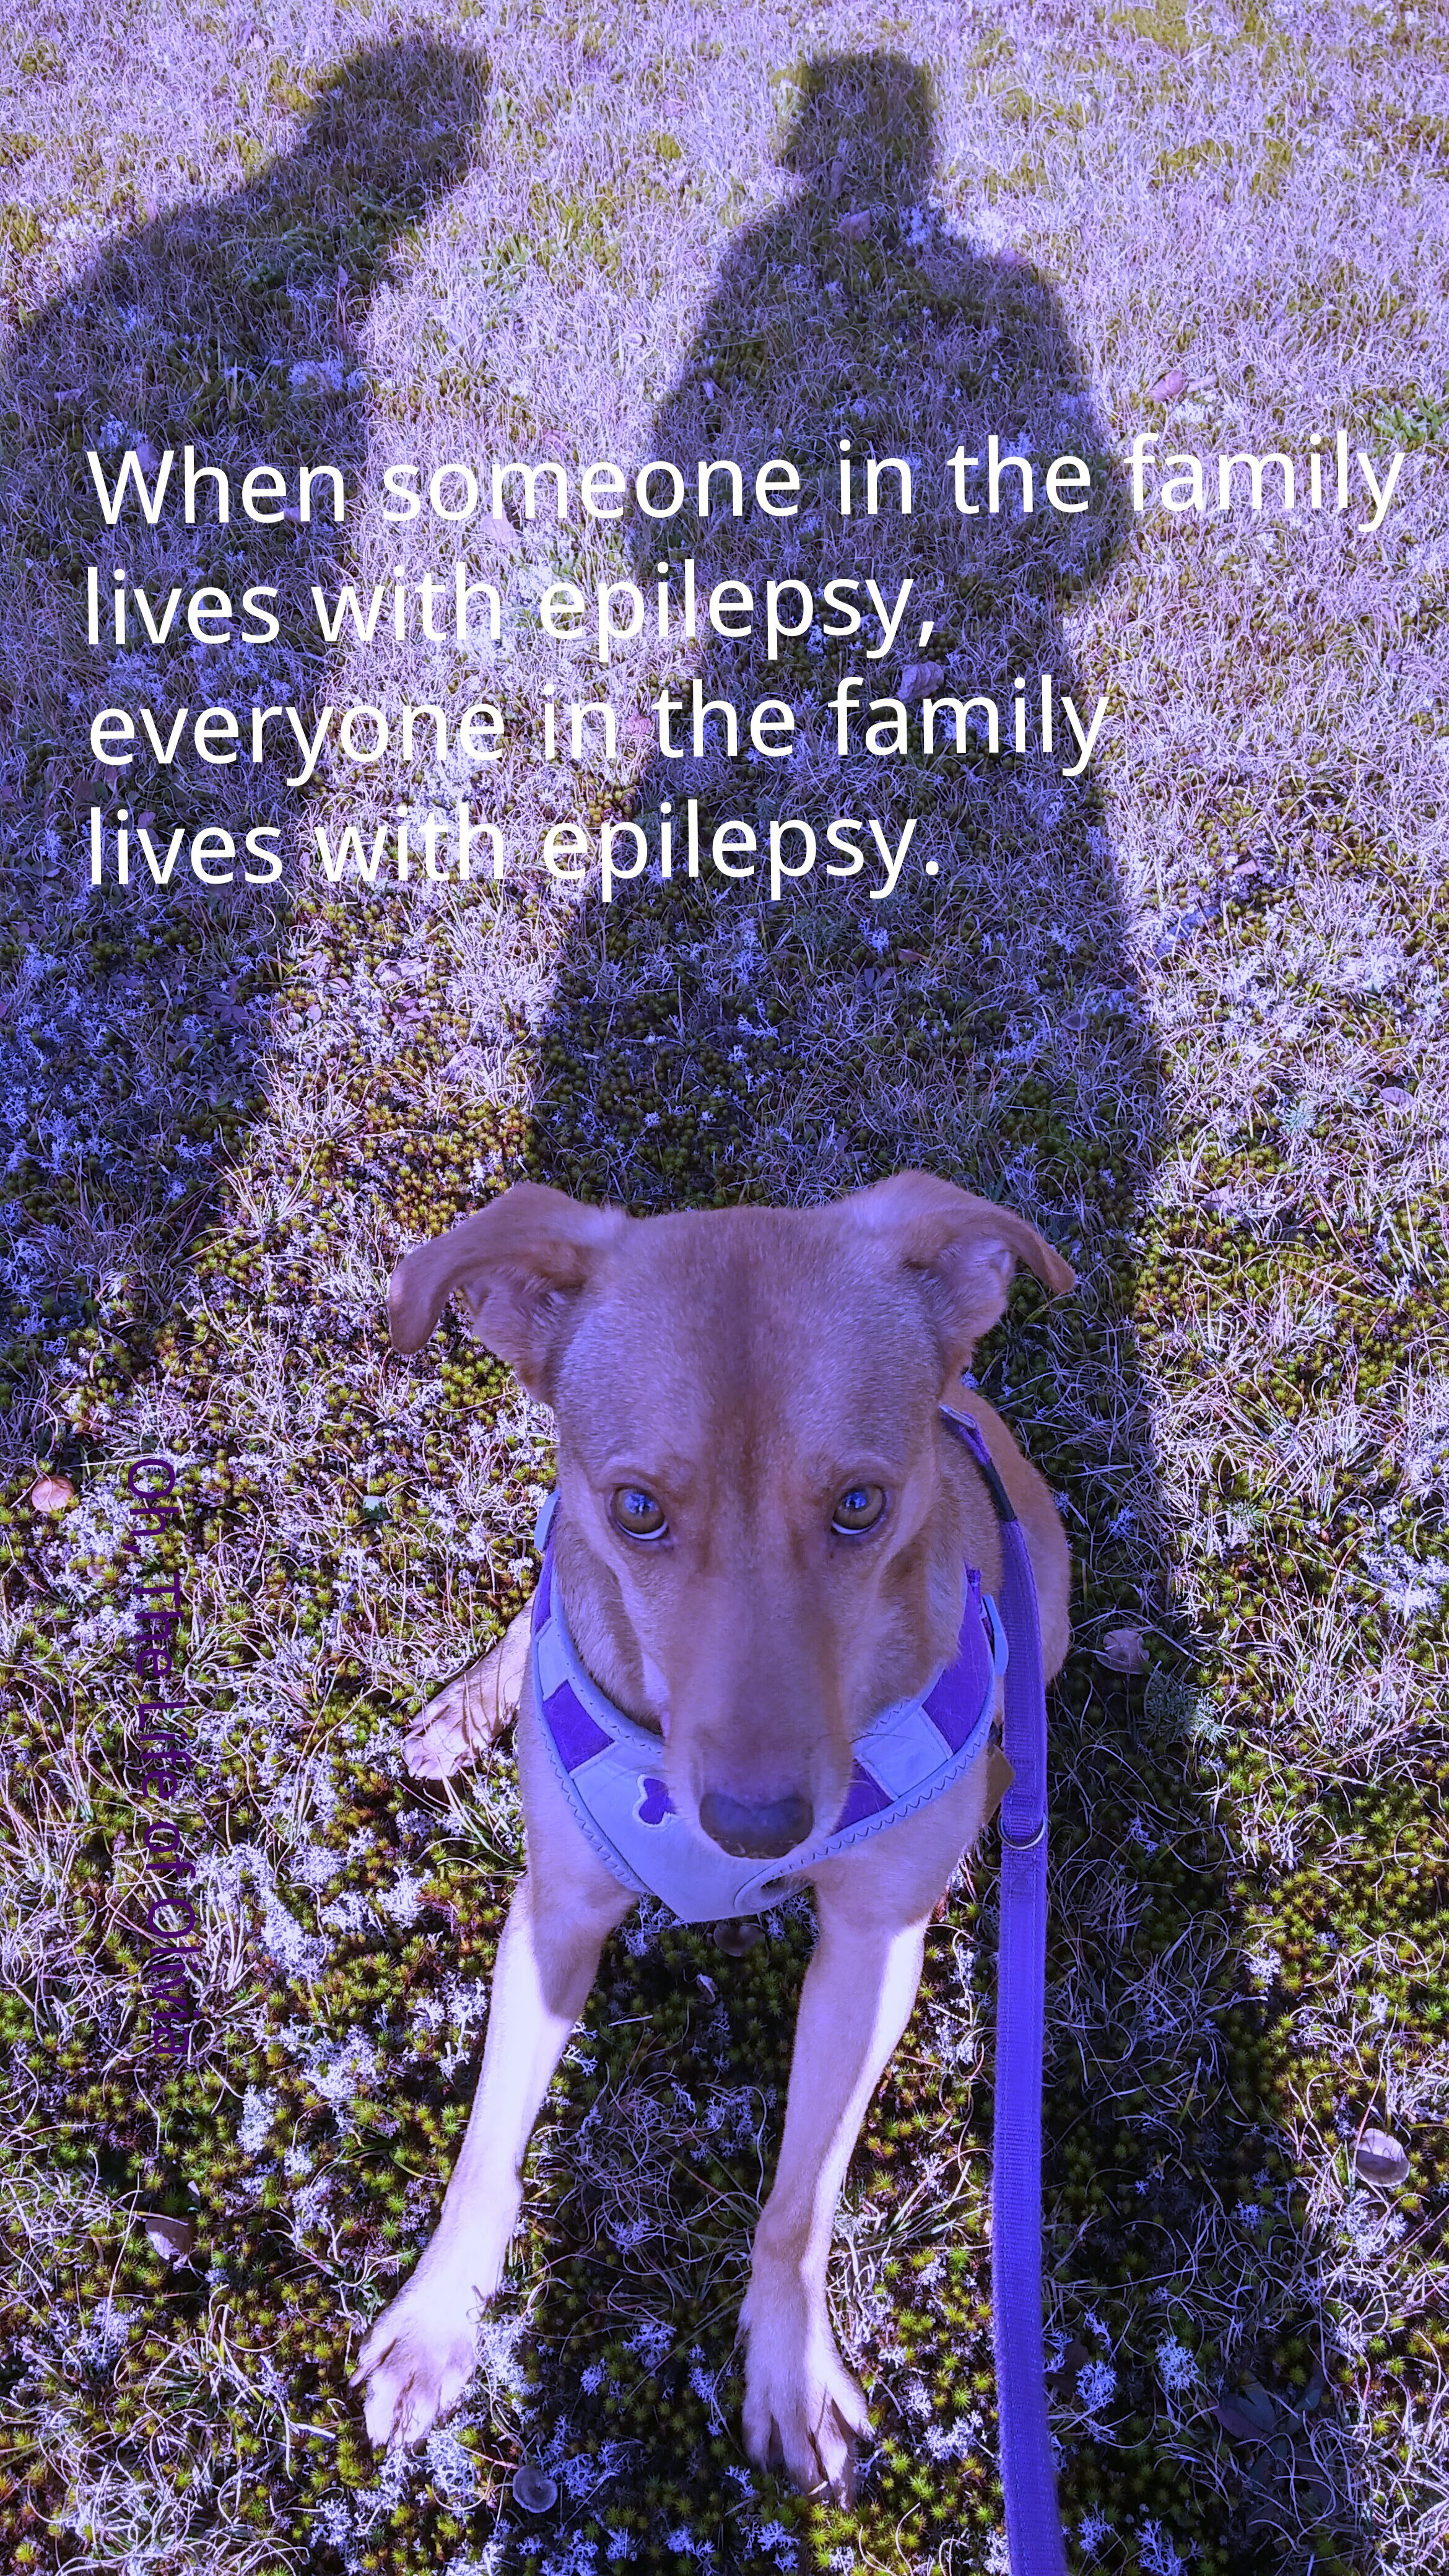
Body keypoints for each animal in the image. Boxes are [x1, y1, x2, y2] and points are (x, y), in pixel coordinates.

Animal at [353, 1172, 1072, 2501]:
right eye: (638, 1509)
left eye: (860, 1505)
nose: (755, 1830)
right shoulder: (556, 1916)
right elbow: (485, 2149)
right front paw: (434, 2324)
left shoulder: (870, 1953)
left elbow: (800, 2199)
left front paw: (788, 2366)